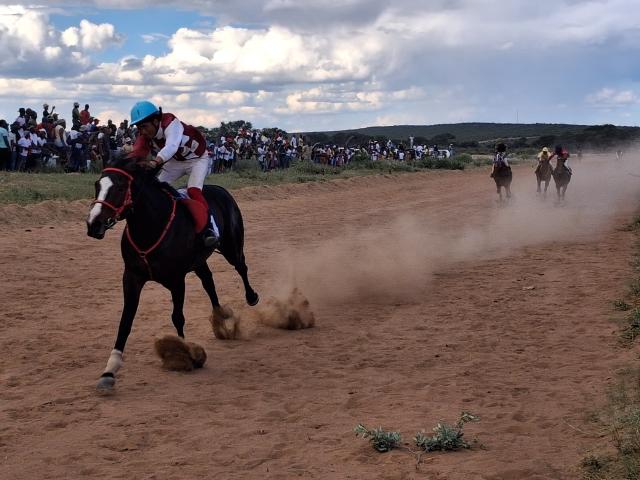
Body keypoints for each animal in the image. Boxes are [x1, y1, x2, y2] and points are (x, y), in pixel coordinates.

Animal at [86, 155, 259, 390]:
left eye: (121, 188)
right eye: (98, 185)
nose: (93, 224)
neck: (151, 227)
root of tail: (221, 190)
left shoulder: (177, 280)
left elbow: (177, 317)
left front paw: (185, 354)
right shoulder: (131, 277)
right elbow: (125, 321)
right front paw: (109, 371)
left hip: (231, 246)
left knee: (241, 267)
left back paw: (251, 297)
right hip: (198, 261)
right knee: (209, 281)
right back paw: (221, 318)